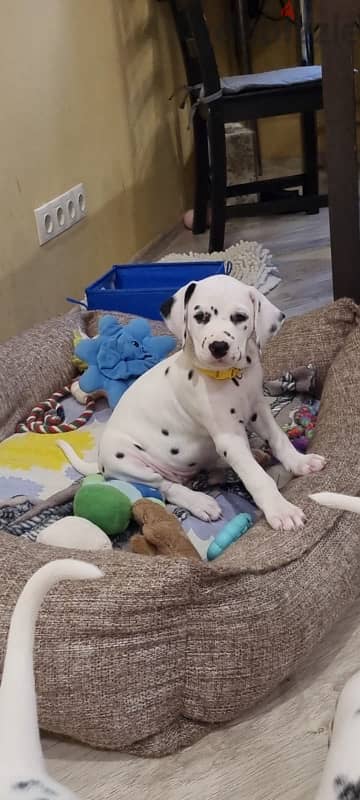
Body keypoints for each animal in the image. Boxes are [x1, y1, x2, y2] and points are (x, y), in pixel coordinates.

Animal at [59, 276, 326, 532]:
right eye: (200, 317)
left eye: (240, 317)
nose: (218, 346)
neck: (229, 377)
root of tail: (100, 463)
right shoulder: (228, 435)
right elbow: (255, 476)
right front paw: (280, 510)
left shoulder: (257, 410)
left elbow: (278, 438)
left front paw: (299, 462)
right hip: (128, 461)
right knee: (165, 486)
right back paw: (200, 502)